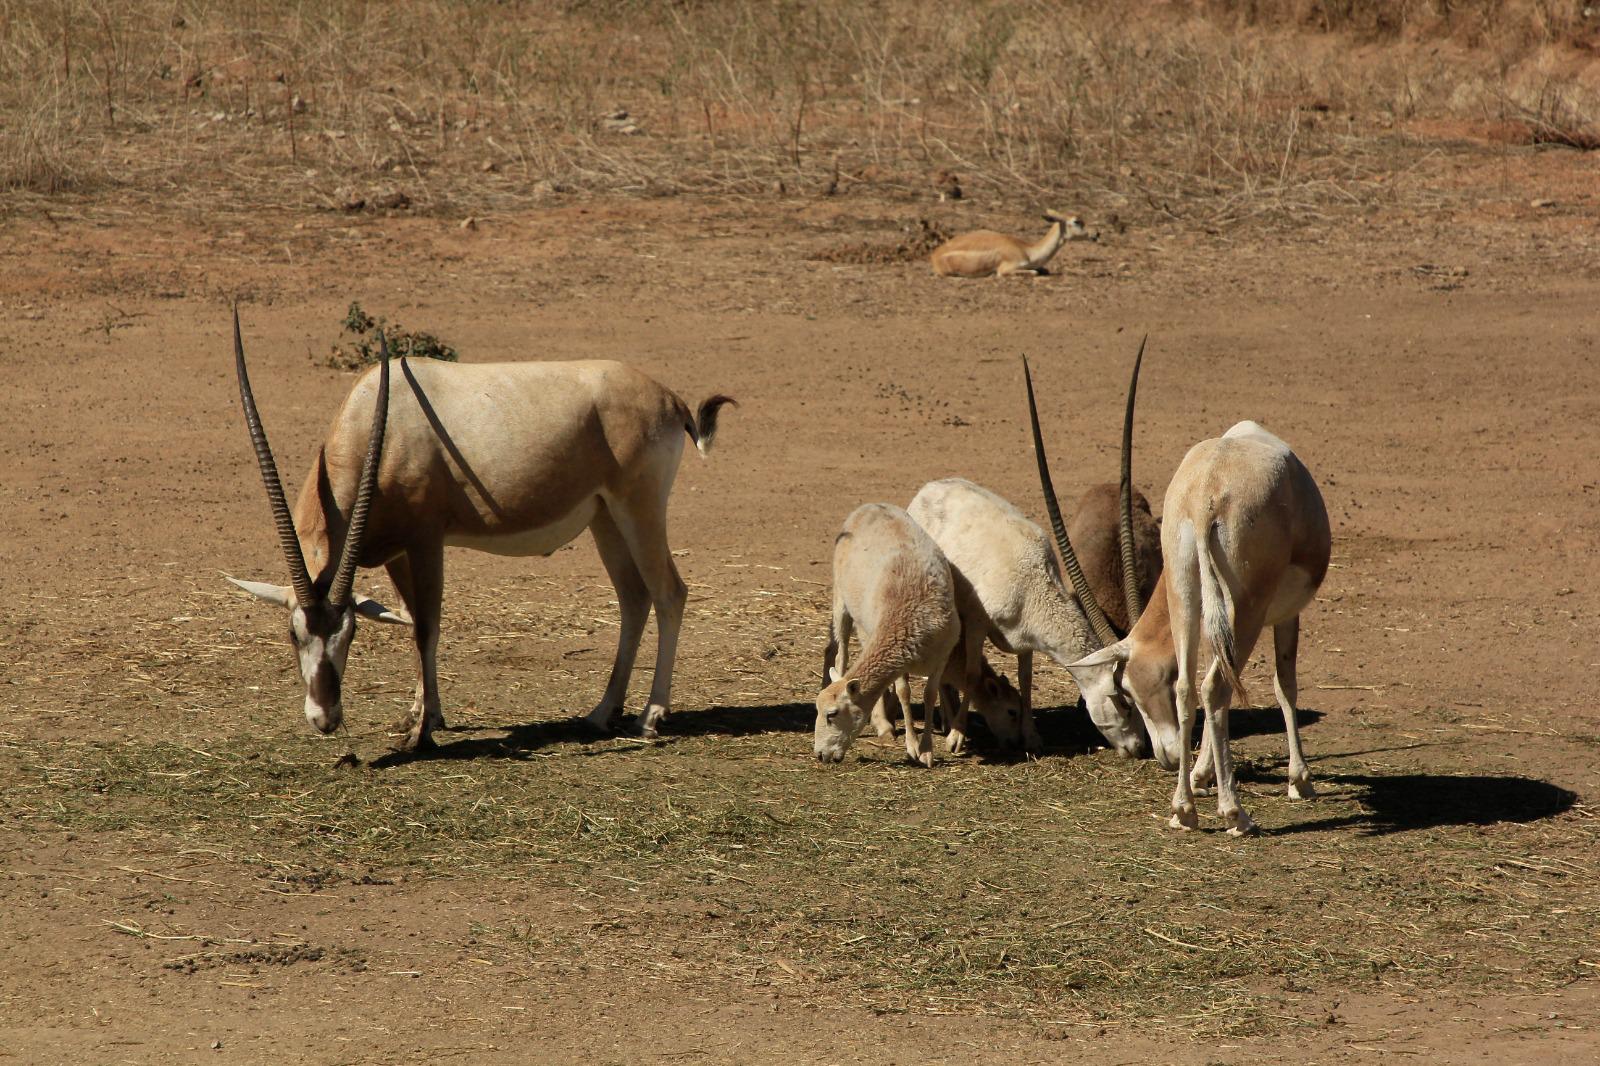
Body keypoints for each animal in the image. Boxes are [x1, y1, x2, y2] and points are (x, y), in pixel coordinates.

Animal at [227, 308, 736, 745]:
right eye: (294, 633)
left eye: (349, 634)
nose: (325, 718)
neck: (378, 423)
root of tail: (670, 399)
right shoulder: (396, 553)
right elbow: (411, 618)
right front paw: (419, 714)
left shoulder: (427, 540)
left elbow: (426, 626)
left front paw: (423, 732)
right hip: (606, 518)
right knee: (634, 598)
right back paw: (600, 713)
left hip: (639, 508)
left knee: (669, 593)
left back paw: (650, 716)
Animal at [819, 505, 992, 765]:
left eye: (832, 714)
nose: (820, 754)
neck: (906, 622)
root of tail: (868, 506)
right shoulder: (901, 661)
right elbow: (904, 692)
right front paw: (912, 746)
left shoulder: (940, 657)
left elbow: (930, 694)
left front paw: (927, 750)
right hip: (840, 599)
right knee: (842, 653)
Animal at [928, 211, 1100, 278]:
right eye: (1077, 221)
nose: (1097, 233)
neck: (1028, 250)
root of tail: (935, 255)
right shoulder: (1006, 269)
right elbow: (1034, 272)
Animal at [1030, 369, 1331, 832]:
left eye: (1129, 691)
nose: (1168, 756)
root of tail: (1207, 494)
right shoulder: (1287, 614)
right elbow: (1285, 685)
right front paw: (1300, 781)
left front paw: (1200, 775)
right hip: (1245, 608)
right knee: (1217, 687)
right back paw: (1234, 812)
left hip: (1186, 593)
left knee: (1197, 686)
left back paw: (1183, 809)